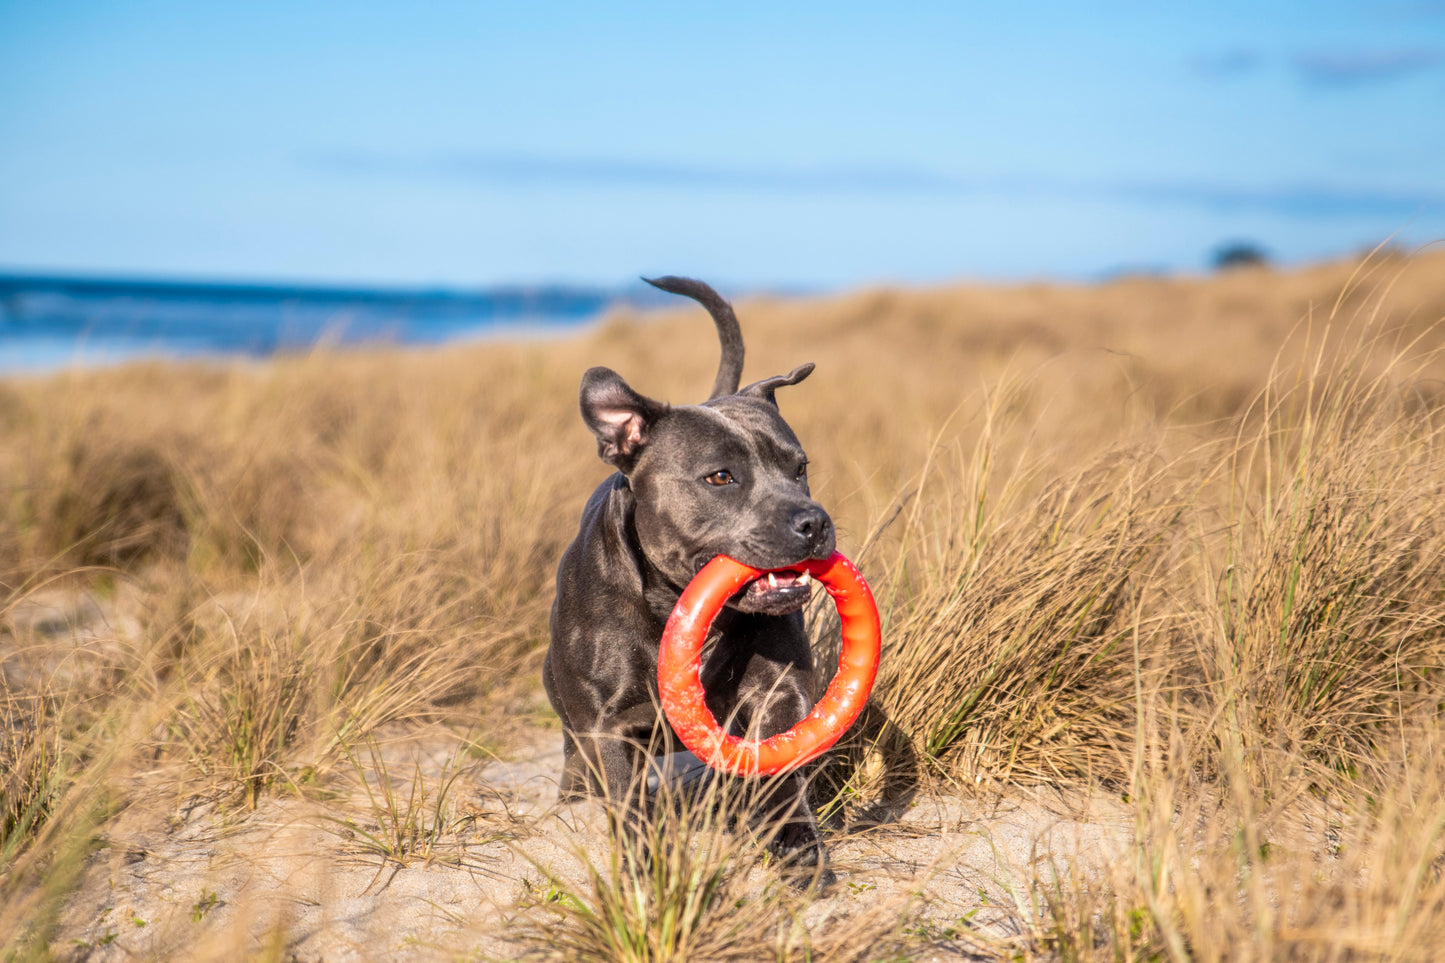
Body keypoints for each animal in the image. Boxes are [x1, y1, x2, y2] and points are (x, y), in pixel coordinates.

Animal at [543, 273, 838, 879]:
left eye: (800, 468)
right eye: (720, 477)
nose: (814, 521)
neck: (670, 602)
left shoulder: (778, 693)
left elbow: (778, 771)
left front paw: (796, 841)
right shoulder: (608, 724)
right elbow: (626, 802)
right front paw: (641, 872)